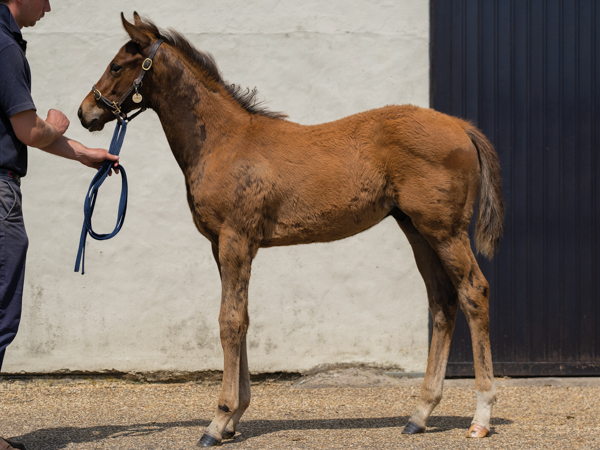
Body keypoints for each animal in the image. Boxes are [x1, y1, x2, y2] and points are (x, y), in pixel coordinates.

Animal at [78, 13, 502, 446]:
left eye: (117, 66)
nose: (85, 113)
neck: (224, 142)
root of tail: (461, 127)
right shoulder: (222, 246)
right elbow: (242, 318)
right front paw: (235, 417)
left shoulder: (235, 240)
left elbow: (229, 320)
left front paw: (218, 420)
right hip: (418, 230)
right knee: (442, 302)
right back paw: (420, 414)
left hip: (446, 231)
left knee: (474, 292)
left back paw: (481, 415)